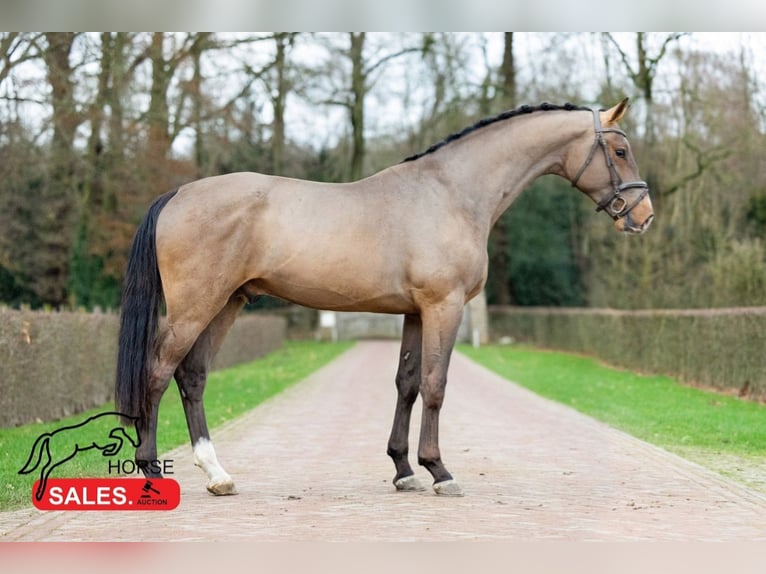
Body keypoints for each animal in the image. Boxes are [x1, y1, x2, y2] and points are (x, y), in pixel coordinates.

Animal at [115, 98, 653, 497]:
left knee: (193, 375)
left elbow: (407, 384)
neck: (451, 193)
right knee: (158, 372)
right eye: (619, 149)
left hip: (227, 303)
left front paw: (404, 469)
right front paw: (440, 471)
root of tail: (177, 195)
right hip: (195, 306)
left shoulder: (414, 312)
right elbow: (435, 384)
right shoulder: (443, 306)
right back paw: (151, 470)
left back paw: (217, 474)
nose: (643, 215)